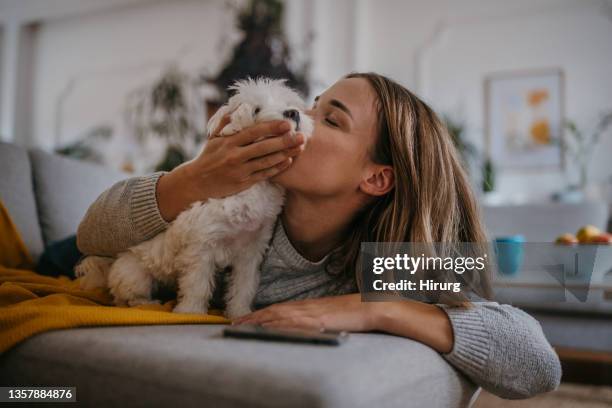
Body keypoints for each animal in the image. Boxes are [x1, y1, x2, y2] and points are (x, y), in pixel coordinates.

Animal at [76, 77, 314, 318]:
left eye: (287, 103)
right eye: (256, 110)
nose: (293, 113)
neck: (253, 189)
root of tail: (111, 263)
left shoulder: (250, 252)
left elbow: (243, 287)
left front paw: (239, 314)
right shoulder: (201, 249)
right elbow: (197, 287)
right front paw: (190, 312)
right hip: (135, 275)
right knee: (125, 299)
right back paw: (146, 303)